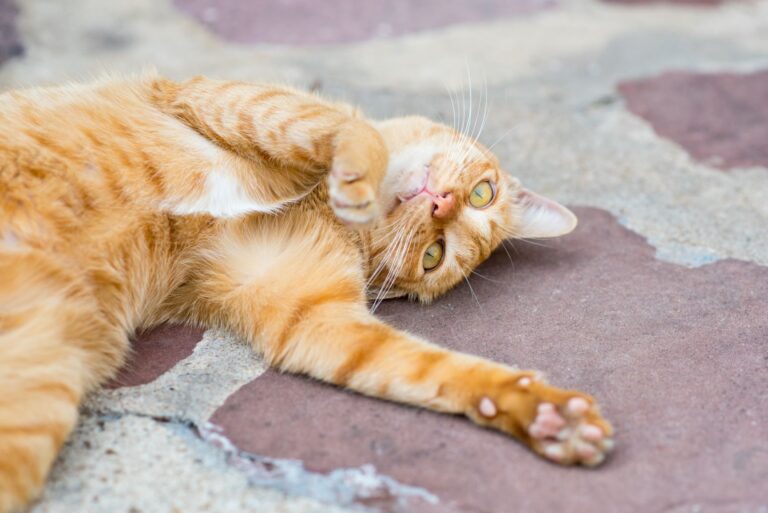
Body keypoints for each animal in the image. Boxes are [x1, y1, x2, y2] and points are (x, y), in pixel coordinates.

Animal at [0, 74, 612, 510]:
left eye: (433, 255)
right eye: (484, 193)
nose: (441, 204)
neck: (319, 203)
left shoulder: (314, 318)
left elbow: (435, 370)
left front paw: (541, 413)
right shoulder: (224, 98)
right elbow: (344, 127)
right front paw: (358, 166)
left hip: (37, 394)